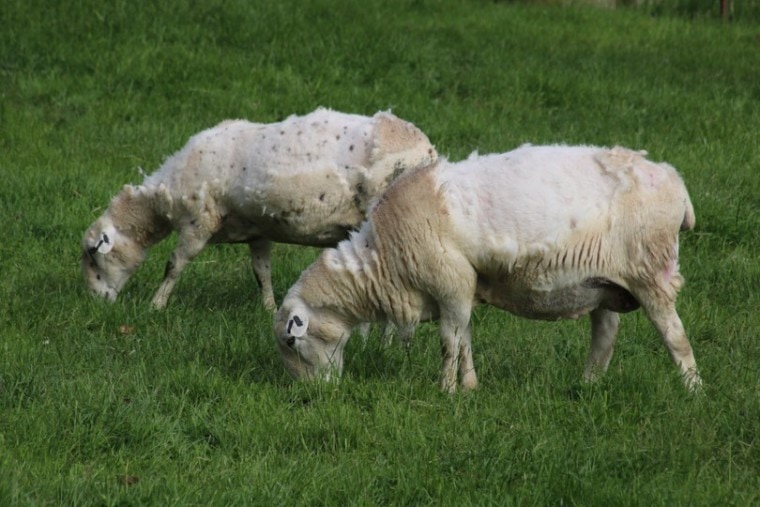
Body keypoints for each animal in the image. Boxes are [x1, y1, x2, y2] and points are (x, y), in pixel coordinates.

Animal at [80, 107, 436, 310]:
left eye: (93, 256)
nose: (98, 304)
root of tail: (428, 151)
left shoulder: (199, 222)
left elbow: (174, 265)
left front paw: (156, 305)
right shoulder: (258, 230)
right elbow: (261, 272)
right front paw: (268, 308)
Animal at [274, 143, 700, 392]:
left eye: (291, 342)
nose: (310, 395)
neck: (382, 259)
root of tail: (675, 181)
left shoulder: (449, 282)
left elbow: (448, 342)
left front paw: (445, 391)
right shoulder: (462, 290)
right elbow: (464, 338)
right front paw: (469, 386)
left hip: (651, 270)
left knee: (675, 336)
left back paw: (693, 391)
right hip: (603, 286)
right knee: (605, 337)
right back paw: (588, 386)